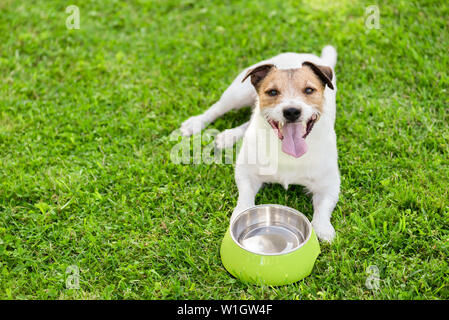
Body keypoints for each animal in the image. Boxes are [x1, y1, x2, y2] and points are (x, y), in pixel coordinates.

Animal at [180, 45, 338, 242]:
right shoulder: (246, 173)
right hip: (237, 93)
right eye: (272, 92)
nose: (291, 111)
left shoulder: (329, 185)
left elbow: (323, 209)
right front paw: (241, 215)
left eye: (309, 90)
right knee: (218, 108)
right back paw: (196, 123)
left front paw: (323, 229)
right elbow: (245, 198)